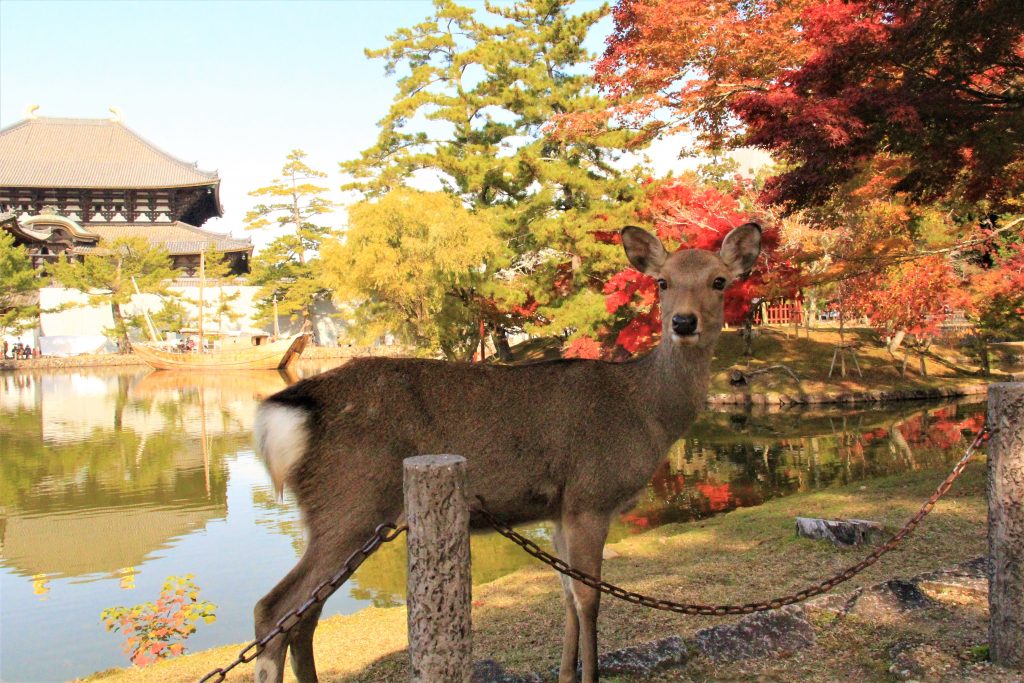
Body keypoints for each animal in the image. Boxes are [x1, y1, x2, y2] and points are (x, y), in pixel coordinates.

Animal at [251, 222, 765, 679]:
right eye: (662, 282)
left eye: (719, 280)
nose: (683, 321)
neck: (646, 411)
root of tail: (287, 411)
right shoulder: (591, 497)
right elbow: (590, 599)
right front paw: (589, 674)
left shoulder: (559, 510)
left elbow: (567, 595)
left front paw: (565, 674)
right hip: (350, 501)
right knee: (273, 609)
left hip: (343, 514)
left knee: (302, 618)